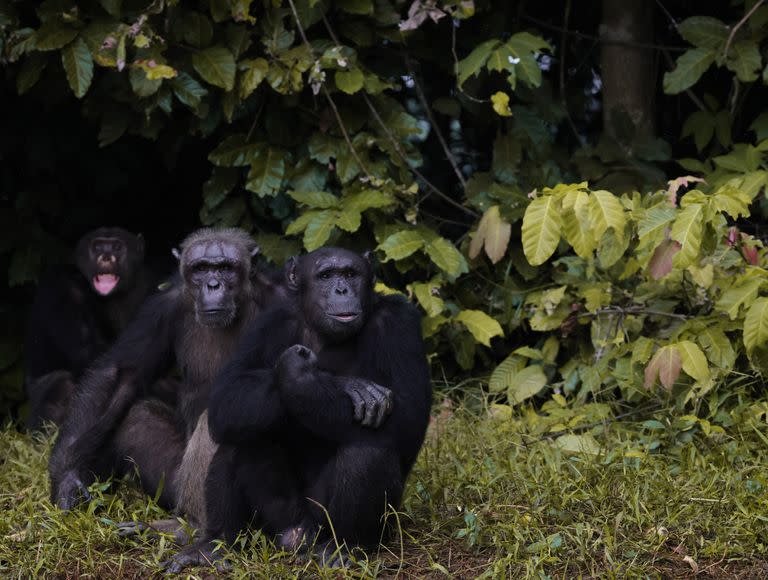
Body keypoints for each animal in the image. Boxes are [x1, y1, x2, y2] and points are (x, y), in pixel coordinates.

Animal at [24, 227, 153, 430]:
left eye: (117, 247)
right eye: (98, 246)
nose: (106, 256)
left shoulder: (145, 283)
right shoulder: (61, 287)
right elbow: (90, 356)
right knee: (62, 385)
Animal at [166, 246, 432, 572]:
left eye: (351, 273)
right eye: (326, 275)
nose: (342, 289)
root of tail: (297, 536)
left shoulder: (400, 322)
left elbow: (408, 415)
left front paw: (301, 378)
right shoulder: (270, 321)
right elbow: (228, 394)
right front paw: (342, 383)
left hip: (331, 523)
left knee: (369, 451)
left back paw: (347, 547)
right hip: (279, 521)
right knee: (237, 436)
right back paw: (215, 544)